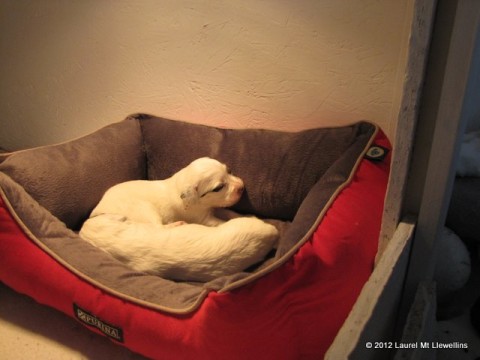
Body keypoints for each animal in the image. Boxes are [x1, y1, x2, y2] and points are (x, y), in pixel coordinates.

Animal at [79, 158, 278, 282]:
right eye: (218, 187)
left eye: (229, 171)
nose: (242, 188)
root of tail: (95, 213)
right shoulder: (203, 218)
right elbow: (219, 222)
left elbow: (227, 212)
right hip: (144, 210)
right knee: (159, 227)